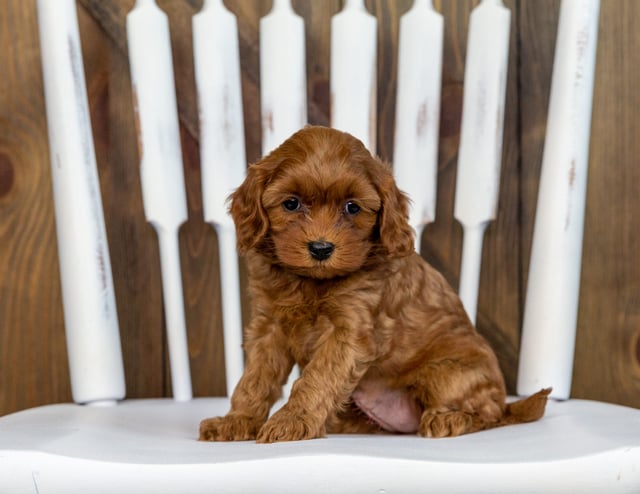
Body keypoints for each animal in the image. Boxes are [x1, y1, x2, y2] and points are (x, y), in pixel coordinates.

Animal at [200, 125, 552, 442]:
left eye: (352, 207)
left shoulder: (348, 333)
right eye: (291, 204)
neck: (312, 282)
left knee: (488, 415)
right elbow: (254, 379)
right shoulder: (269, 327)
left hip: (447, 374)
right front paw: (237, 421)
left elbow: (316, 378)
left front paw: (292, 421)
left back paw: (451, 419)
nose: (321, 248)